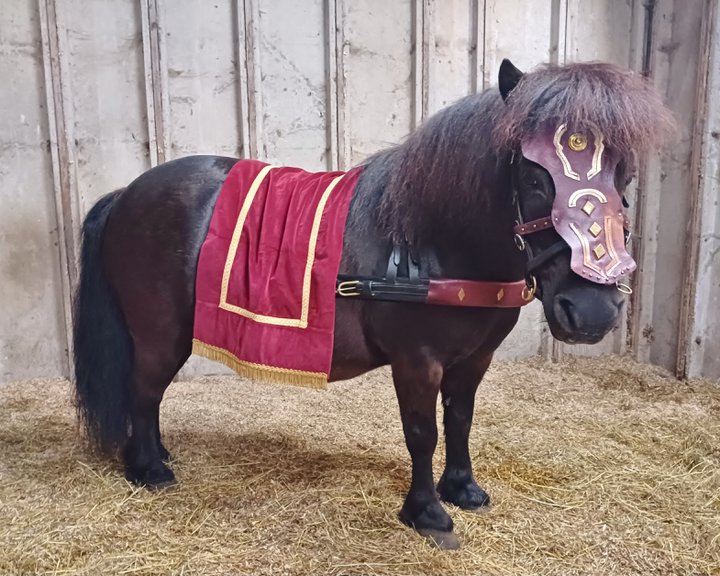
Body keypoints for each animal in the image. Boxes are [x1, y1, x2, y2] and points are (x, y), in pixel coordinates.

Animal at [72, 59, 672, 549]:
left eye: (624, 172)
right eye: (533, 175)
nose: (592, 311)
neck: (434, 238)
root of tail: (126, 194)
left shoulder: (473, 359)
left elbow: (460, 420)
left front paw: (462, 489)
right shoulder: (416, 360)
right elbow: (423, 433)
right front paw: (427, 513)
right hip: (160, 332)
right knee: (144, 390)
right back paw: (148, 468)